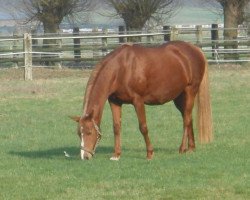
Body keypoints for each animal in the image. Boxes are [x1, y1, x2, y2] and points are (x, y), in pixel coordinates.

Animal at [71, 41, 213, 160]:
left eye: (89, 132)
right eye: (79, 133)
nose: (85, 156)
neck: (121, 69)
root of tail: (195, 49)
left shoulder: (138, 101)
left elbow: (143, 127)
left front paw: (150, 153)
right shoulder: (115, 102)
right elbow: (116, 127)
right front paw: (116, 154)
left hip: (190, 91)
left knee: (186, 120)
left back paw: (182, 148)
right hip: (179, 97)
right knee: (188, 118)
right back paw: (191, 148)